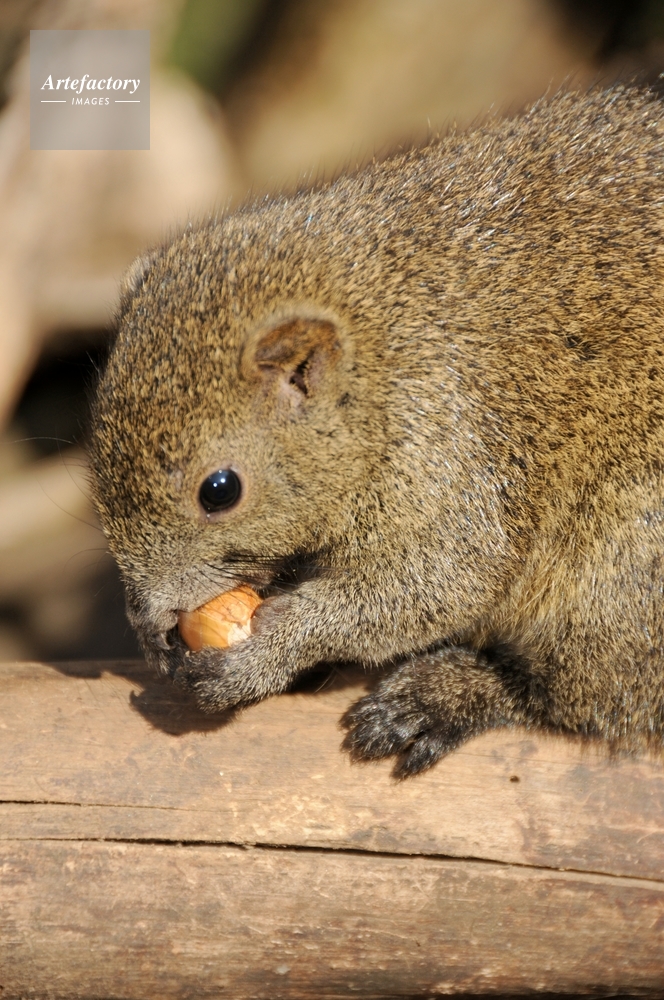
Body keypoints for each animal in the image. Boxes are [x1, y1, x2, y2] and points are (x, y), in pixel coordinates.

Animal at [90, 87, 664, 776]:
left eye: (220, 490)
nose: (148, 616)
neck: (386, 341)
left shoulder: (447, 454)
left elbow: (436, 583)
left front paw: (268, 655)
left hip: (621, 573)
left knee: (587, 700)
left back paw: (445, 696)